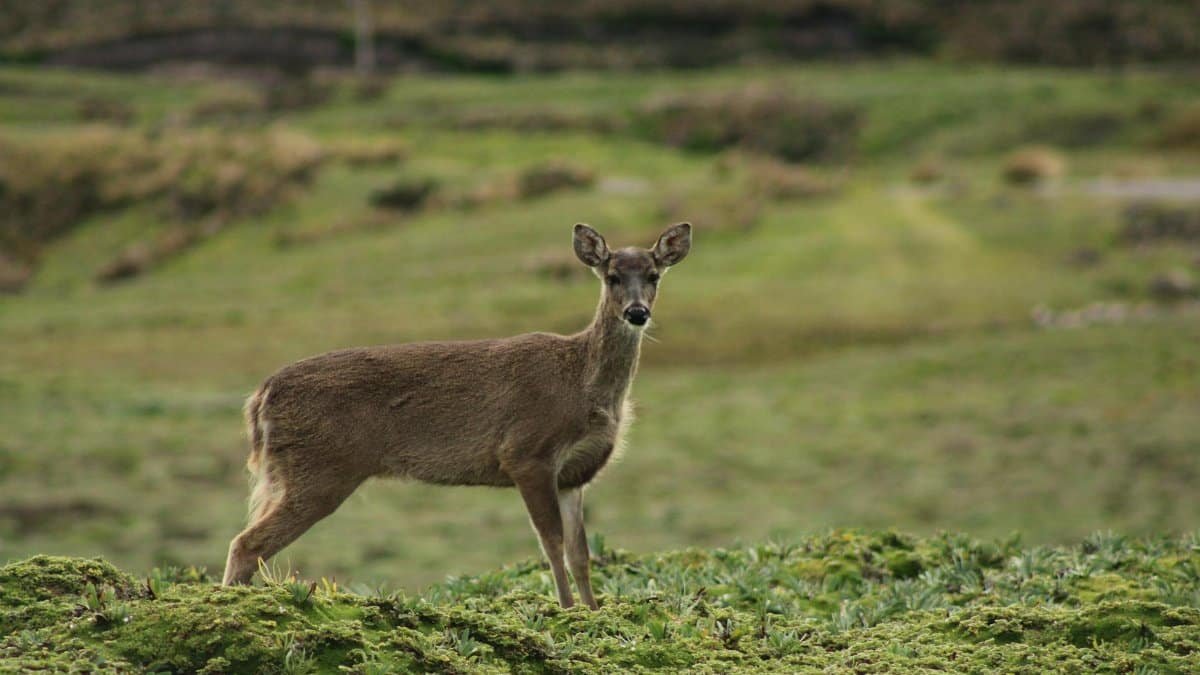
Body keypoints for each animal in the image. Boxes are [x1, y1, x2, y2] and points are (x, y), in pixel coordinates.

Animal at [221, 222, 692, 609]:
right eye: (612, 277)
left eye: (653, 276)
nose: (637, 312)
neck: (582, 384)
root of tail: (260, 396)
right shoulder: (526, 452)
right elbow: (551, 543)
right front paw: (567, 610)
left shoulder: (575, 474)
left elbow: (581, 553)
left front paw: (593, 611)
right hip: (319, 468)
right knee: (246, 543)